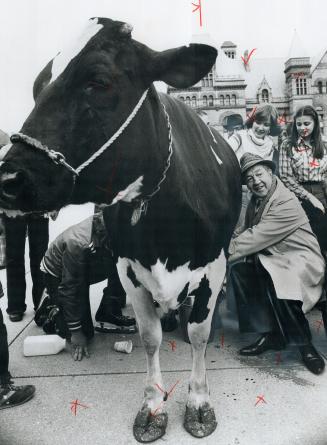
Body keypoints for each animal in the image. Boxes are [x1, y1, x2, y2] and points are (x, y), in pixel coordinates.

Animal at [0, 16, 241, 440]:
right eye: (36, 87)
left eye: (99, 81)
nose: (9, 179)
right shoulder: (128, 267)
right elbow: (149, 337)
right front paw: (152, 405)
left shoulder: (214, 264)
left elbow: (199, 333)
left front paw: (198, 402)